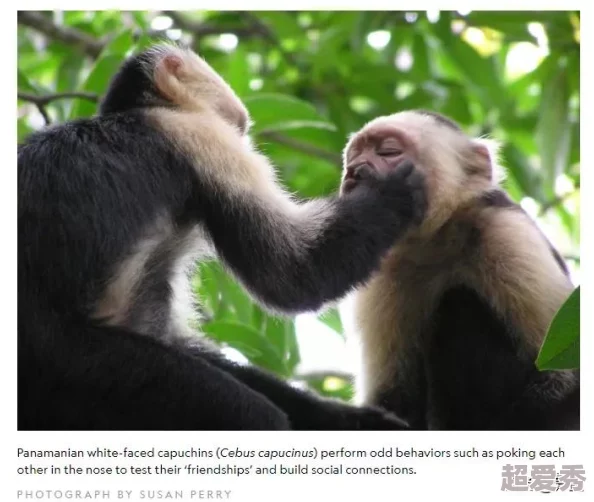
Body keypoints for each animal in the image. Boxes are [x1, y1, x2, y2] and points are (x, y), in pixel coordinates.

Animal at [17, 43, 426, 430]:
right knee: (251, 415)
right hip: (78, 365)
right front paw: (391, 192)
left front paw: (339, 417)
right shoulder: (202, 135)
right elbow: (291, 272)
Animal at [340, 110, 576, 432]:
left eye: (388, 151)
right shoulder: (384, 270)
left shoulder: (505, 231)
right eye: (353, 158)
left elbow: (564, 379)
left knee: (459, 305)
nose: (355, 171)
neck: (437, 242)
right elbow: (392, 401)